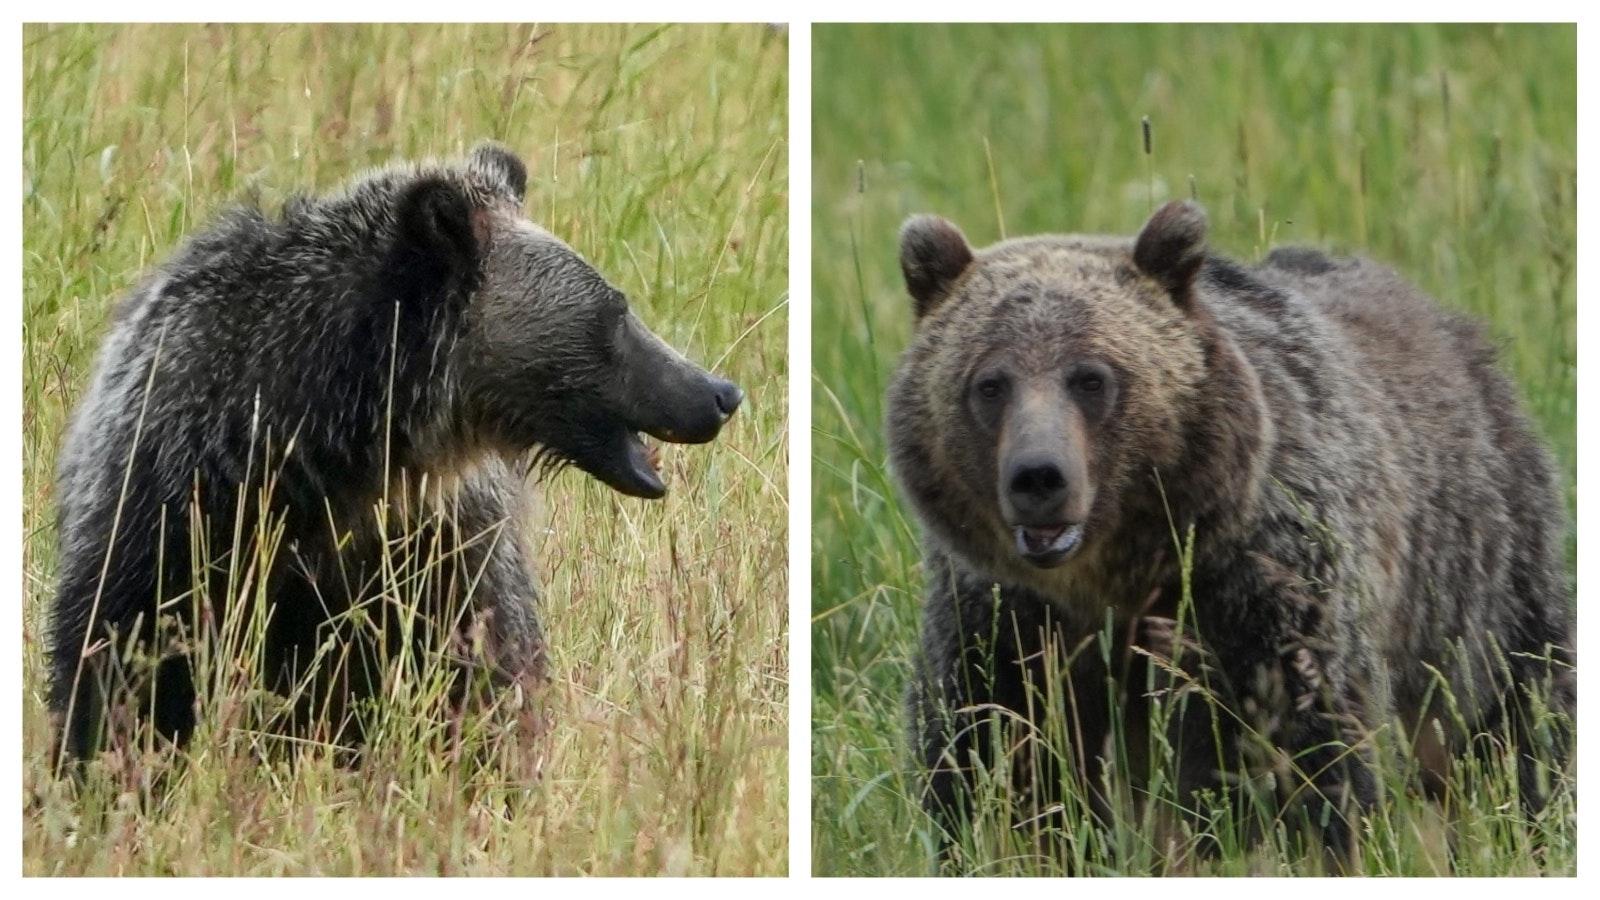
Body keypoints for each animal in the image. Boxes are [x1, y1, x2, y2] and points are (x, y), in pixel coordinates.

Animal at [47, 141, 742, 767]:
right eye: (615, 310)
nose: (718, 392)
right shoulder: (171, 509)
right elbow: (123, 669)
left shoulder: (439, 549)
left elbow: (481, 682)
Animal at [889, 200, 1574, 869]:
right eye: (989, 383)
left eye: (1091, 377)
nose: (1039, 476)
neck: (1117, 579)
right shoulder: (1007, 620)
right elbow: (990, 755)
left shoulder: (1259, 586)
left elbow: (1304, 751)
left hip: (1476, 568)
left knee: (1515, 714)